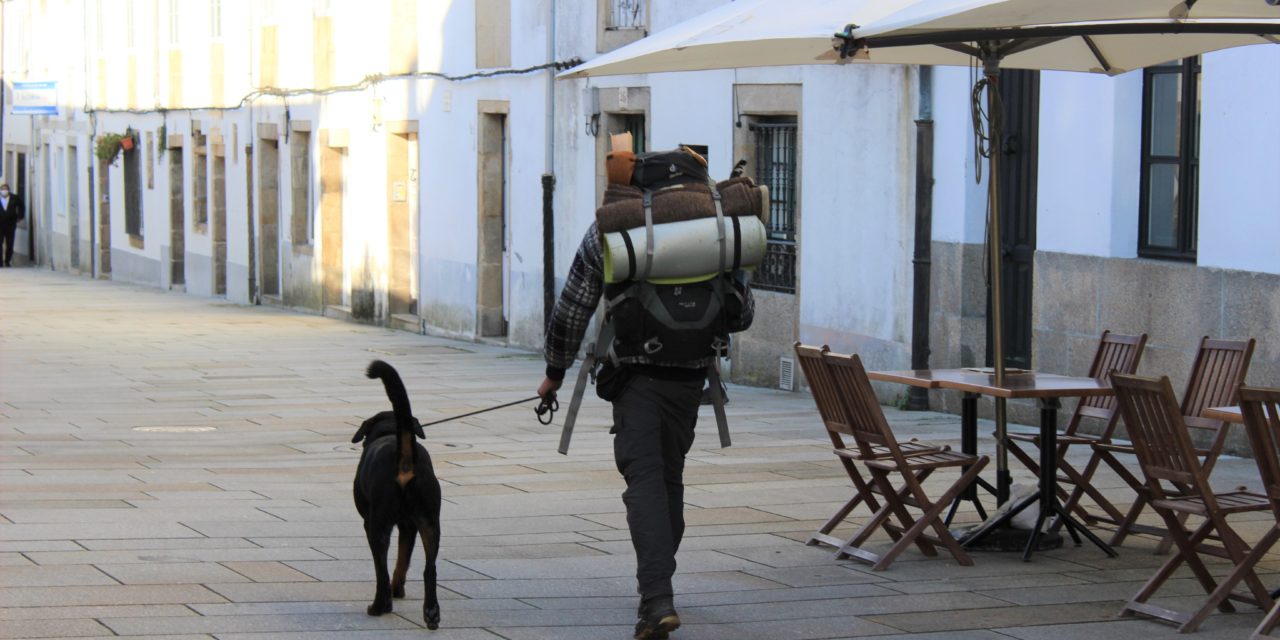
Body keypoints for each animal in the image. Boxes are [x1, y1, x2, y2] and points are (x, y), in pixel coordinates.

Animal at [353, 360, 442, 629]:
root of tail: (404, 460)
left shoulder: (377, 522)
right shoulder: (409, 525)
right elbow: (403, 559)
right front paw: (399, 588)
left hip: (377, 524)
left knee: (380, 569)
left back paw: (379, 606)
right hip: (430, 521)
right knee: (429, 568)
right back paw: (431, 613)